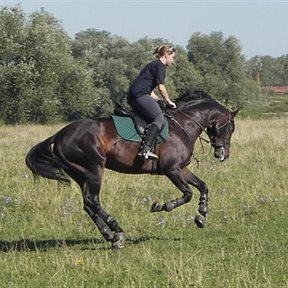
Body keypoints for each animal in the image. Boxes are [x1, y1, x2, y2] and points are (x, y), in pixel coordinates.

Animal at [25, 91, 238, 249]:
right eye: (230, 128)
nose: (223, 154)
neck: (183, 124)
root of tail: (59, 134)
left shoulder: (182, 168)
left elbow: (202, 186)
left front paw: (201, 215)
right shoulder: (172, 169)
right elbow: (187, 194)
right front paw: (161, 206)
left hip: (80, 174)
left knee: (88, 205)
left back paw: (111, 236)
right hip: (94, 169)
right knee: (93, 201)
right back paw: (116, 230)